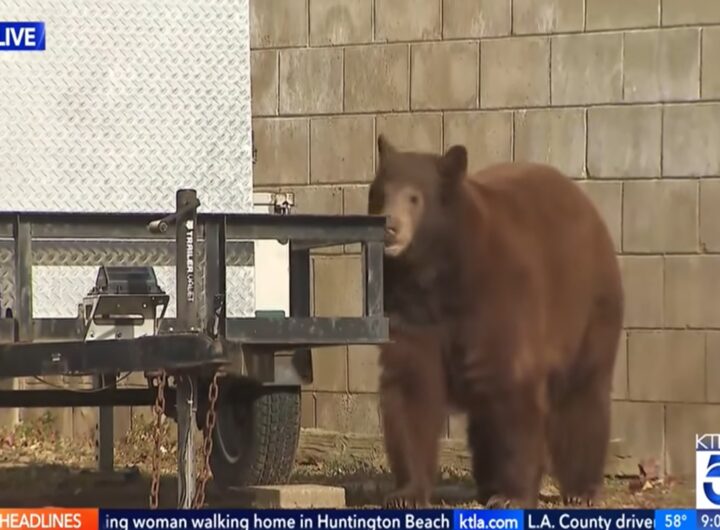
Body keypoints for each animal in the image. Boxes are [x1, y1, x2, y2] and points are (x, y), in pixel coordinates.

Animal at [368, 134, 624, 510]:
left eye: (414, 197)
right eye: (380, 193)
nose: (389, 226)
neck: (439, 270)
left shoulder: (500, 295)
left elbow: (512, 387)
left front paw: (512, 495)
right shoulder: (409, 307)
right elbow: (411, 385)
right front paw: (406, 493)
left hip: (589, 308)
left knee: (582, 395)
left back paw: (581, 489)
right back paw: (487, 483)